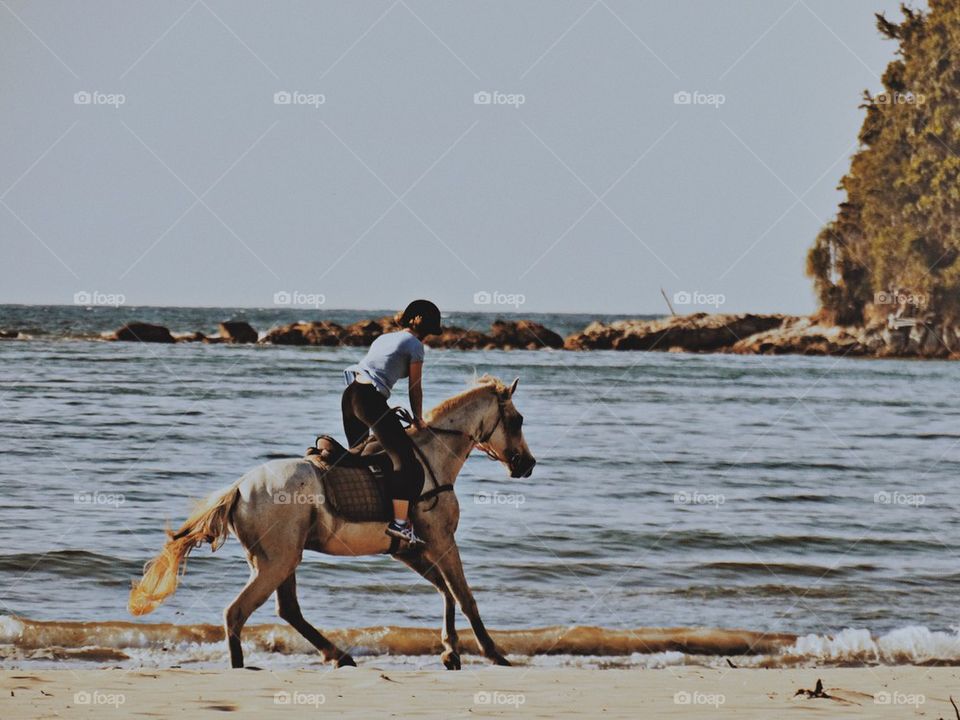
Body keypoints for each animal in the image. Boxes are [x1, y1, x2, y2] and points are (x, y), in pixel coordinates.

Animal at [127, 376, 536, 668]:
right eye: (517, 420)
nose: (527, 464)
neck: (433, 456)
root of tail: (240, 487)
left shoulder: (409, 549)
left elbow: (445, 591)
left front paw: (451, 651)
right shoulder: (441, 540)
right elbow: (464, 596)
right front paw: (492, 652)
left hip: (281, 560)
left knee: (286, 610)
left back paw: (338, 655)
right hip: (277, 561)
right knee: (237, 612)